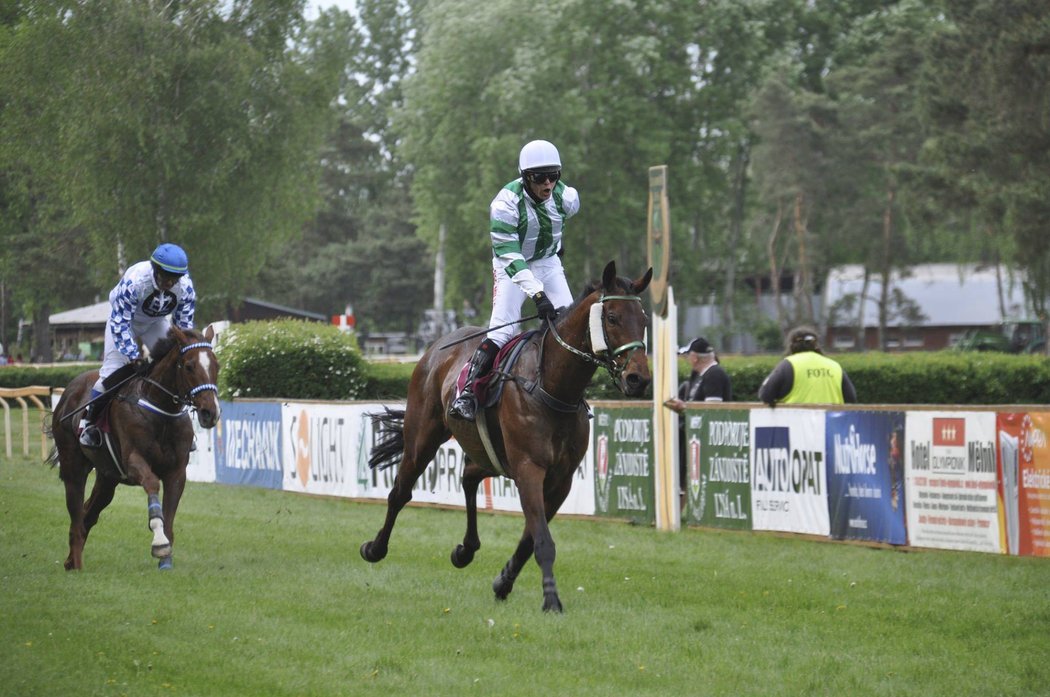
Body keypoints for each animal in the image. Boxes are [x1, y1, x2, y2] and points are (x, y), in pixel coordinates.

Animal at [50, 323, 221, 571]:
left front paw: (166, 562)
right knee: (76, 518)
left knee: (87, 514)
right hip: (73, 467)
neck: (160, 409)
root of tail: (68, 392)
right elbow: (152, 484)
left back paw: (70, 562)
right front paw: (159, 542)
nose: (210, 412)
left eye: (216, 365)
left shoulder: (177, 471)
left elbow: (170, 517)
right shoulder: (134, 461)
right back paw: (77, 565)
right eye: (189, 366)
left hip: (107, 477)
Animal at [365, 260, 651, 608]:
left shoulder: (561, 479)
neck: (552, 386)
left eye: (645, 320)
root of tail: (434, 349)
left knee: (469, 477)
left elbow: (530, 539)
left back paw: (465, 550)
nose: (638, 379)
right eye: (612, 317)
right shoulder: (529, 468)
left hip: (487, 452)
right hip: (422, 438)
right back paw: (375, 548)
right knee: (400, 492)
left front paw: (503, 582)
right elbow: (542, 540)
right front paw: (551, 600)